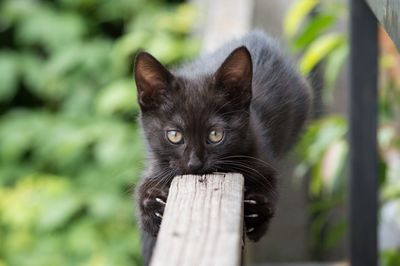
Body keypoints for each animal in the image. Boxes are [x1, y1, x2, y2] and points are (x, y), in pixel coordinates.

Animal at [133, 30, 310, 264]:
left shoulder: (261, 154)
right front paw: (153, 205)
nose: (195, 163)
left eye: (215, 135)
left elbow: (270, 183)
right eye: (174, 135)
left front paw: (256, 212)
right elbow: (143, 188)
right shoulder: (157, 164)